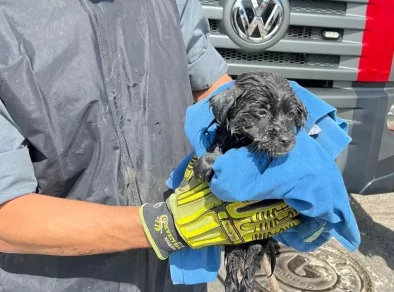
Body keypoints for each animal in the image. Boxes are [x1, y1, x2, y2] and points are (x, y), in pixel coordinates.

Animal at [194, 71, 308, 292]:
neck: (245, 141)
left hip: (257, 244)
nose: (286, 140)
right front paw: (207, 162)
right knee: (235, 269)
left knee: (248, 269)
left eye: (291, 115)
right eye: (262, 112)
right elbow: (218, 148)